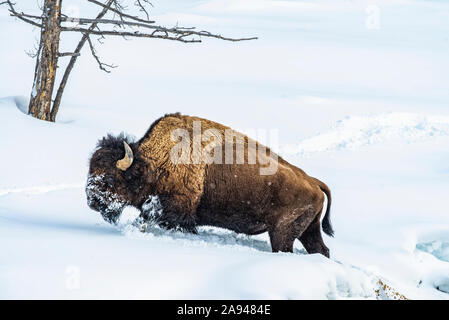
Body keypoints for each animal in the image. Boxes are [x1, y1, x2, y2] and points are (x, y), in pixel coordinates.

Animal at [86, 113, 332, 258]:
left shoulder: (178, 213)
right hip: (308, 229)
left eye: (110, 178)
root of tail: (314, 182)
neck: (153, 163)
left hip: (282, 233)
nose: (91, 201)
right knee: (321, 249)